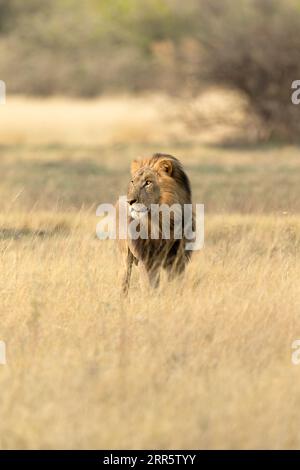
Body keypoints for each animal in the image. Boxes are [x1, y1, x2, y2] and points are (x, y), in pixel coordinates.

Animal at [118, 153, 193, 294]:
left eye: (148, 182)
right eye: (133, 182)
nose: (129, 201)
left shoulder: (177, 259)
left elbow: (176, 284)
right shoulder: (146, 259)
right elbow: (149, 286)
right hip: (125, 256)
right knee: (125, 280)